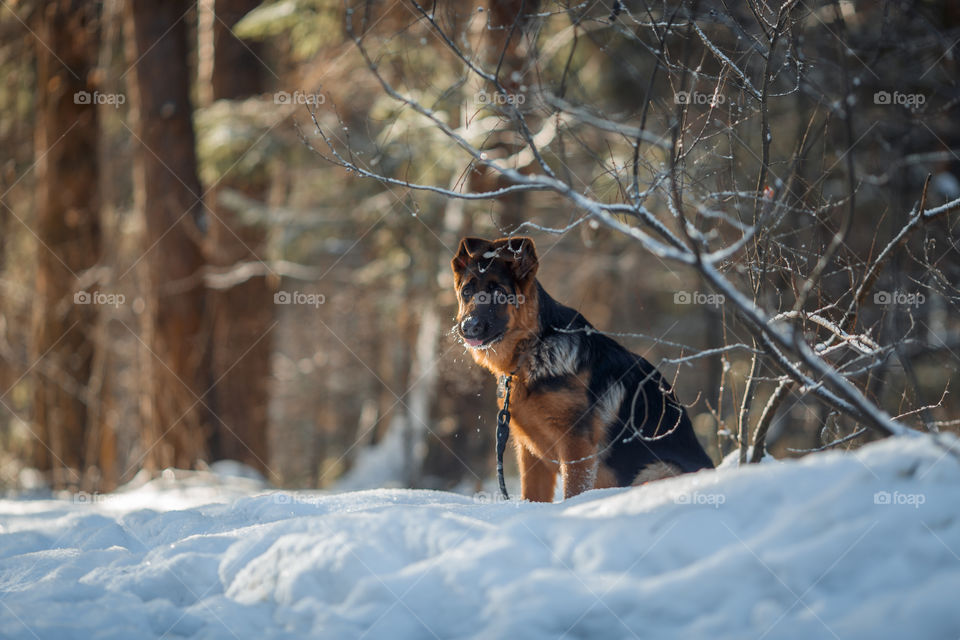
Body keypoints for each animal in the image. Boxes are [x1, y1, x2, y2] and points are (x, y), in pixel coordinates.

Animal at [450, 238, 712, 502]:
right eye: (467, 292)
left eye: (499, 293)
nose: (468, 327)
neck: (534, 350)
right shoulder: (530, 454)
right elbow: (532, 495)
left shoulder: (576, 446)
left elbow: (573, 491)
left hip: (655, 469)